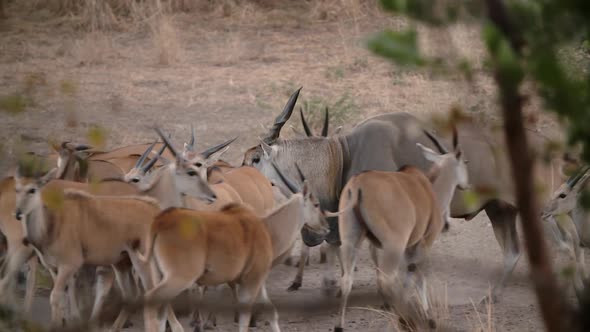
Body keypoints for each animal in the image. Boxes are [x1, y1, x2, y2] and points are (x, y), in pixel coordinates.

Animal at [138, 161, 332, 332]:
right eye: (316, 204)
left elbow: (271, 312)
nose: (327, 228)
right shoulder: (251, 280)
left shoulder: (257, 280)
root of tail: (160, 222)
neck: (266, 227)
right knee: (150, 300)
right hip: (179, 278)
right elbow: (245, 319)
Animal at [243, 87, 572, 302]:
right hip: (500, 210)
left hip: (544, 214)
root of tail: (549, 148)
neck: (343, 154)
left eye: (255, 159)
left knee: (567, 247)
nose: (240, 182)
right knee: (513, 252)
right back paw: (492, 297)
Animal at [336, 126, 470, 330]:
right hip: (394, 246)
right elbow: (418, 275)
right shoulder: (424, 242)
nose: (466, 184)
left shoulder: (408, 246)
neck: (428, 188)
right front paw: (427, 316)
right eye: (464, 162)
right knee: (387, 279)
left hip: (351, 242)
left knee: (347, 280)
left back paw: (340, 325)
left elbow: (409, 276)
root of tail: (358, 184)